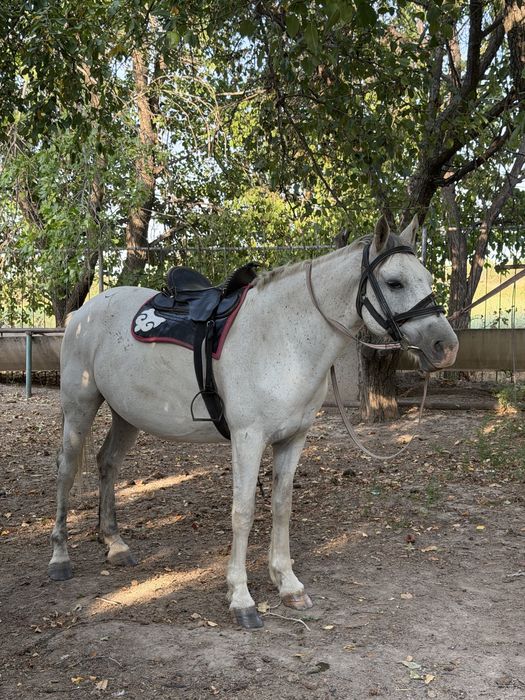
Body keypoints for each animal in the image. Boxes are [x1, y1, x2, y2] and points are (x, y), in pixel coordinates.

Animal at [48, 216, 458, 629]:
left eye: (426, 277)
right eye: (395, 282)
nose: (446, 346)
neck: (283, 336)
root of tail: (82, 314)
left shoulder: (293, 438)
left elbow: (282, 505)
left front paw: (288, 584)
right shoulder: (248, 439)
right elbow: (243, 512)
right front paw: (241, 598)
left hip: (126, 414)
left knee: (108, 463)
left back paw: (115, 544)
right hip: (80, 407)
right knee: (66, 471)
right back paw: (60, 558)